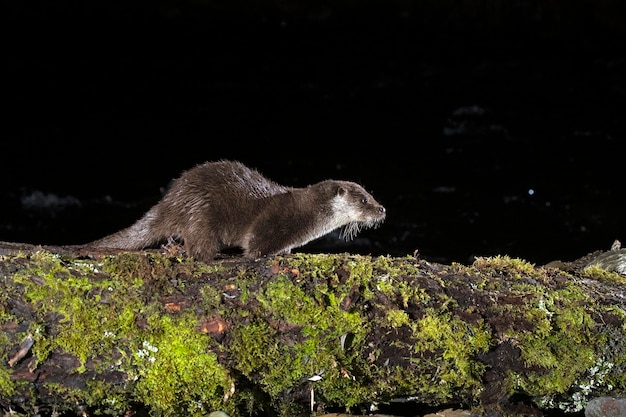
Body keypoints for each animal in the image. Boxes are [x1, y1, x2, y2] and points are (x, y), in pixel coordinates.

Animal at [84, 159, 386, 260]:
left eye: (371, 195)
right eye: (364, 200)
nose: (382, 209)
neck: (307, 214)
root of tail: (170, 202)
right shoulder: (270, 223)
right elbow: (255, 248)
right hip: (201, 213)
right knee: (198, 246)